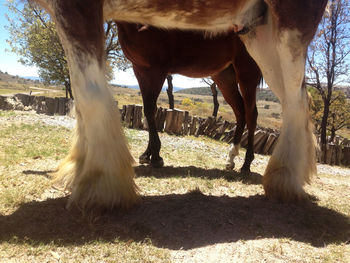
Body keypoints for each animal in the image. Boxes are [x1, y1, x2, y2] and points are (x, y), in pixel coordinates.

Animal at [116, 21, 262, 173]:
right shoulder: (140, 69)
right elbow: (148, 110)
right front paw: (147, 155)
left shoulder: (157, 70)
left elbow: (151, 109)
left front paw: (156, 157)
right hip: (225, 76)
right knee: (240, 112)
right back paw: (231, 158)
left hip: (247, 73)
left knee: (251, 114)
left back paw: (246, 164)